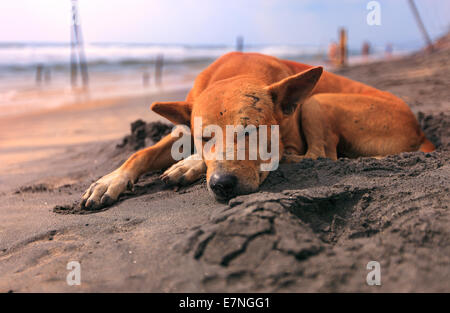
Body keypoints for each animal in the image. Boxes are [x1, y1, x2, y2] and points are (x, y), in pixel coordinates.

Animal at [79, 51, 434, 207]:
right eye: (204, 137)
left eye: (253, 132)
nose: (223, 185)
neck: (235, 72)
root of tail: (420, 130)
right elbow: (140, 153)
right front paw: (109, 181)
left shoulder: (293, 138)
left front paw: (189, 165)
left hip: (318, 102)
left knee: (322, 155)